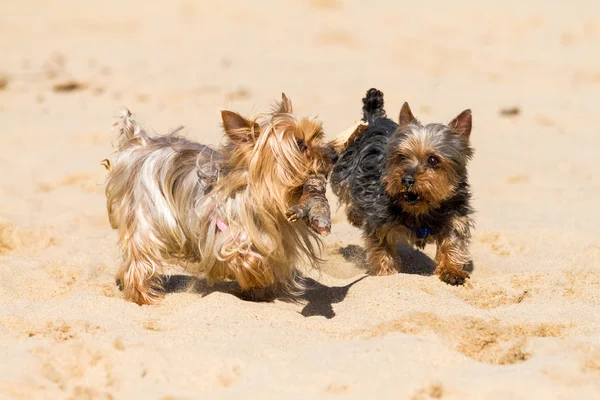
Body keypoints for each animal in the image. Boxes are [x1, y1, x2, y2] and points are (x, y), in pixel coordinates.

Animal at [105, 94, 336, 306]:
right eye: (300, 144)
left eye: (318, 136)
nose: (333, 155)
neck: (260, 199)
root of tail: (140, 143)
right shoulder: (224, 237)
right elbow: (242, 257)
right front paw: (258, 276)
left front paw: (259, 291)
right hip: (146, 213)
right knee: (140, 253)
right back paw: (142, 296)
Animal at [330, 89, 476, 286]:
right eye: (401, 157)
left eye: (433, 160)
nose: (406, 180)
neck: (421, 209)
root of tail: (374, 118)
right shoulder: (379, 221)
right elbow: (381, 250)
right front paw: (386, 273)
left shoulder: (454, 216)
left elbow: (452, 243)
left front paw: (451, 270)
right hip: (346, 169)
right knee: (348, 193)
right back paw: (355, 215)